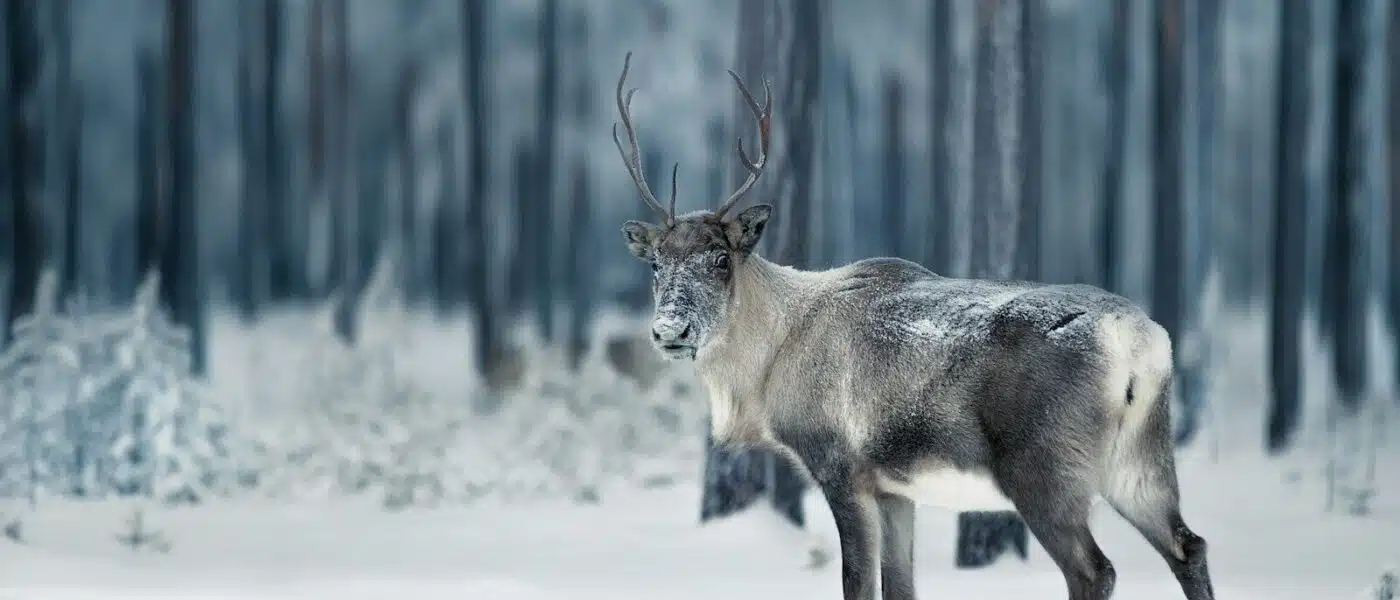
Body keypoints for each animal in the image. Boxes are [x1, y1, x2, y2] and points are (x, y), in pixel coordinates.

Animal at [608, 52, 1215, 600]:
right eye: (656, 263)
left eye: (720, 258)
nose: (669, 330)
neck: (770, 366)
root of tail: (1139, 343)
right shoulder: (895, 489)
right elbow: (901, 586)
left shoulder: (840, 465)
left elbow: (857, 583)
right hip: (1141, 457)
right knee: (1190, 545)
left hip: (1045, 466)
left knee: (1095, 571)